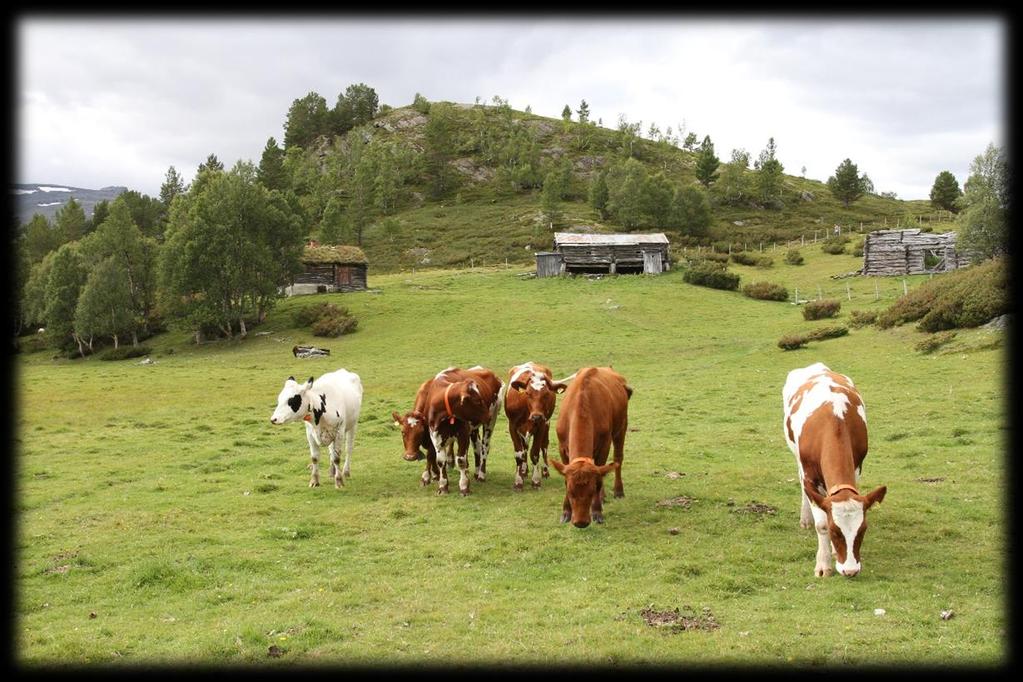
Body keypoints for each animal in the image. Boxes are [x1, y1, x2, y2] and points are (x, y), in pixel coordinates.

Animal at [423, 368, 503, 496]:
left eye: (481, 398)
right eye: (477, 401)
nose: (488, 415)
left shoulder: (463, 435)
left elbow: (461, 460)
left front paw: (464, 486)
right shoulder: (435, 435)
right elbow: (440, 461)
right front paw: (443, 486)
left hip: (490, 422)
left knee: (485, 447)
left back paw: (481, 475)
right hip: (474, 427)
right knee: (477, 447)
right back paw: (476, 472)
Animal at [505, 361, 576, 490]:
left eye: (546, 394)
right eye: (527, 393)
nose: (536, 416)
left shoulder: (541, 425)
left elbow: (535, 453)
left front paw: (536, 480)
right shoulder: (512, 426)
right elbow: (519, 454)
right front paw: (518, 480)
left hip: (546, 425)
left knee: (544, 446)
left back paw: (545, 471)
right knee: (525, 448)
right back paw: (524, 471)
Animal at [544, 370, 630, 527]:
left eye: (591, 492)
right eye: (570, 492)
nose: (581, 522)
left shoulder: (604, 444)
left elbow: (600, 475)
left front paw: (597, 511)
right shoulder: (562, 447)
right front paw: (566, 511)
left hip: (621, 427)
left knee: (617, 459)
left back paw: (618, 491)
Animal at [781, 361, 887, 576]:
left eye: (862, 530)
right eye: (834, 530)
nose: (850, 570)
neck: (834, 421)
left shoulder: (856, 468)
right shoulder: (809, 475)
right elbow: (820, 522)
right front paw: (823, 564)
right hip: (797, 457)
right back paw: (805, 519)